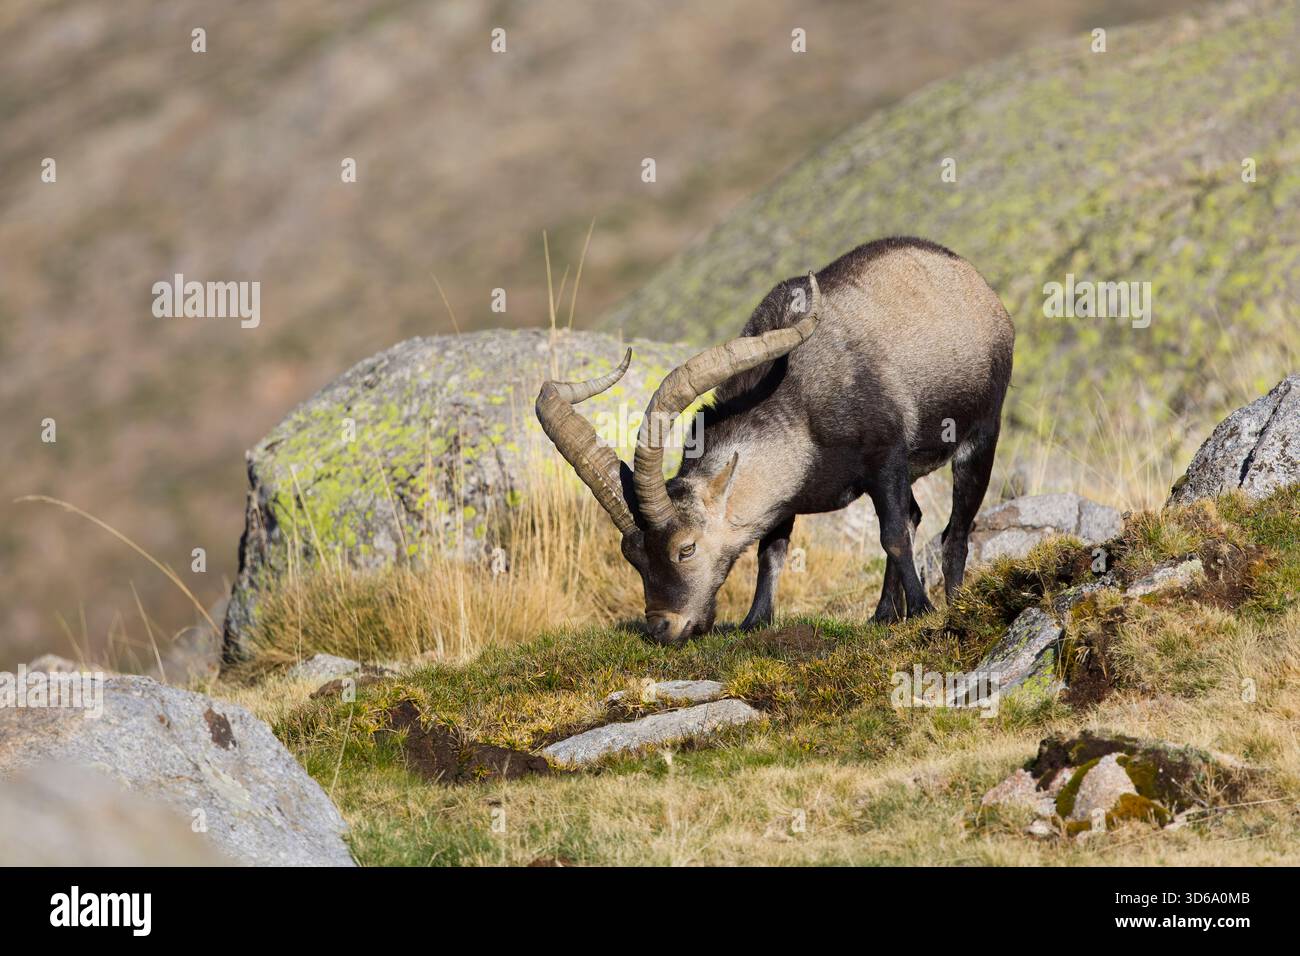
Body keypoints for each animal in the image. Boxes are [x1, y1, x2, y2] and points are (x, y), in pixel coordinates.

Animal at [537, 237, 1014, 644]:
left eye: (686, 548)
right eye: (631, 554)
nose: (662, 628)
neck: (798, 399)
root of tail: (973, 281)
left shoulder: (886, 459)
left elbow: (893, 534)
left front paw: (921, 610)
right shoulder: (784, 495)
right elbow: (771, 551)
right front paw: (755, 620)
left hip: (980, 435)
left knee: (954, 532)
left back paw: (951, 603)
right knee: (917, 516)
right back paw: (881, 615)